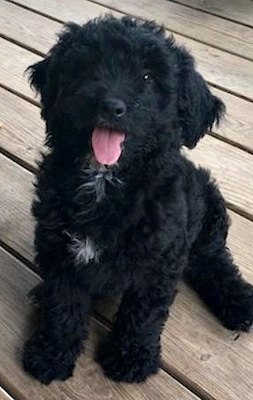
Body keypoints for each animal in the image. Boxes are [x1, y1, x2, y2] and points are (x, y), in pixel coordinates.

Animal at [22, 16, 253, 384]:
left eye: (147, 77)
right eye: (88, 66)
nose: (110, 106)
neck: (105, 181)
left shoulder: (158, 263)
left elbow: (142, 313)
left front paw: (130, 358)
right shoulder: (60, 251)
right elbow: (64, 305)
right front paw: (51, 353)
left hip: (209, 213)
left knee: (214, 261)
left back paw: (239, 302)